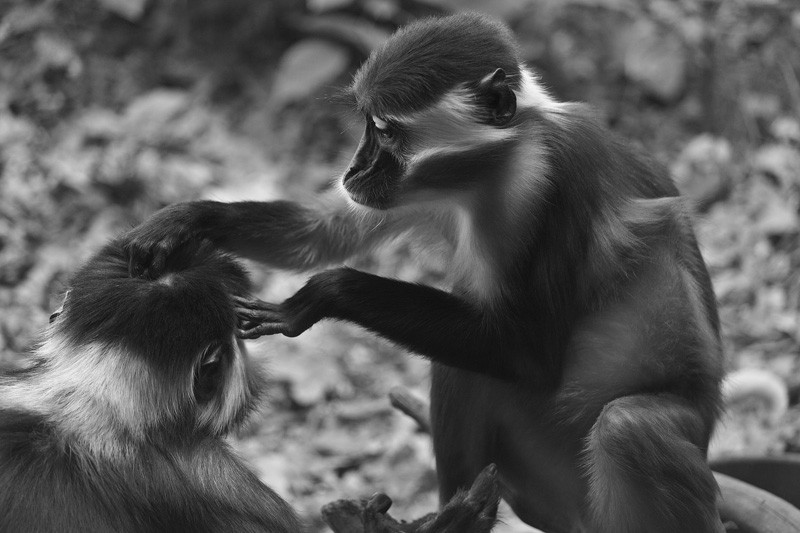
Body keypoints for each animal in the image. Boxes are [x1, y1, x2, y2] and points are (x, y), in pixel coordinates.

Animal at [123, 12, 727, 533]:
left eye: (386, 133)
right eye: (367, 129)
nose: (354, 167)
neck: (500, 163)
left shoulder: (553, 178)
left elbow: (528, 354)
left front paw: (322, 296)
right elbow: (327, 232)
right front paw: (191, 220)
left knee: (628, 428)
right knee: (464, 366)